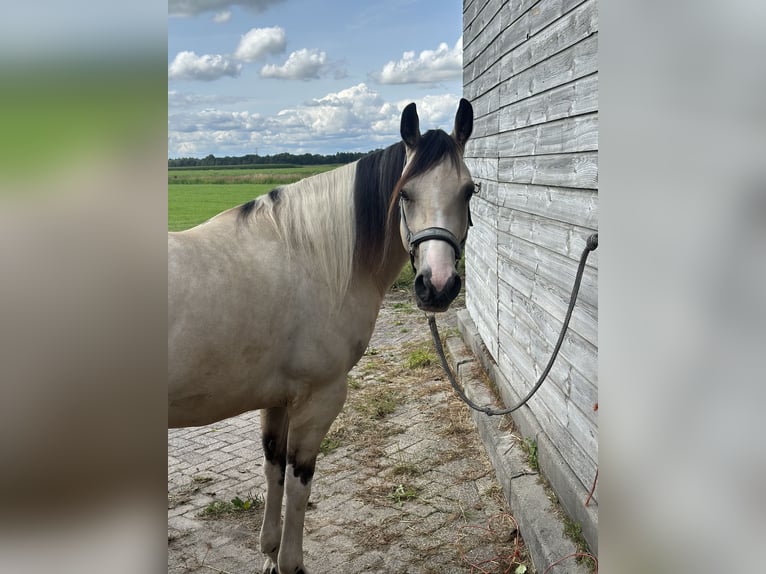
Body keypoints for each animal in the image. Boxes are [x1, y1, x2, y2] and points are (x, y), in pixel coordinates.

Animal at [168, 98, 475, 574]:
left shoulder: (277, 401)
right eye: (405, 193)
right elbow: (299, 485)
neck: (308, 257)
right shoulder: (319, 399)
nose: (437, 286)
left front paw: (269, 553)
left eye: (469, 191)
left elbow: (274, 471)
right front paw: (291, 563)